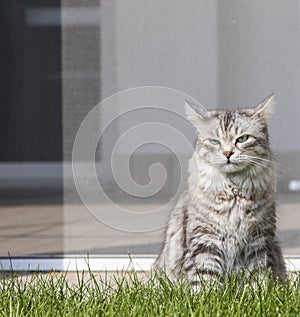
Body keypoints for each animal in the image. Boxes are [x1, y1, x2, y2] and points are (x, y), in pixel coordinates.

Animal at [155, 94, 286, 284]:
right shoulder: (205, 241)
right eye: (214, 142)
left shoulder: (259, 242)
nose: (228, 153)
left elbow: (258, 279)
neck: (234, 192)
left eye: (242, 139)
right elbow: (205, 280)